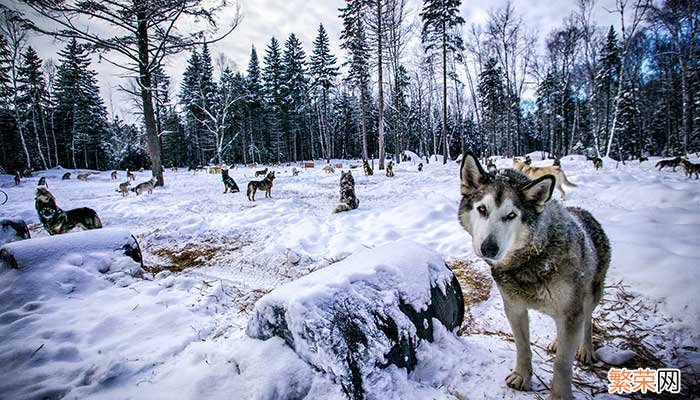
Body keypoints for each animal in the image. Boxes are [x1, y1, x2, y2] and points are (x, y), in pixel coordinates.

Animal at [456, 152, 608, 398]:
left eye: (511, 215)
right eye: (482, 209)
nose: (488, 248)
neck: (532, 260)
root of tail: (583, 211)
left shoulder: (571, 313)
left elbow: (562, 364)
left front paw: (560, 395)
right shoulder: (514, 308)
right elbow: (522, 347)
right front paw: (522, 376)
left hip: (590, 296)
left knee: (587, 320)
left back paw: (585, 349)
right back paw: (557, 342)